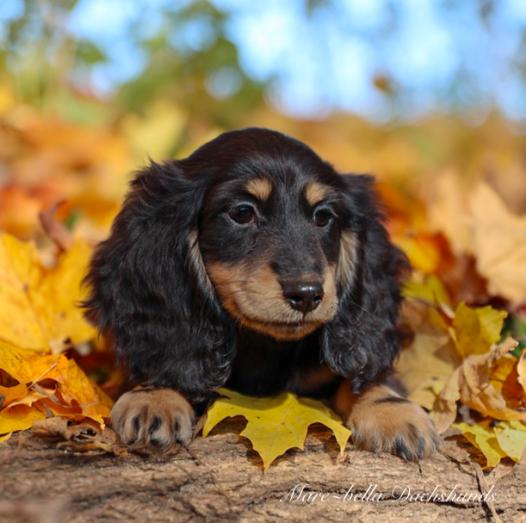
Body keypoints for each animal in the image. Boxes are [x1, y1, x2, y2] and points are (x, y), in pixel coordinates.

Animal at [84, 129, 442, 460]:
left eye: (323, 217)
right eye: (242, 213)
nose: (307, 295)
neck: (265, 348)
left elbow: (367, 373)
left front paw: (392, 410)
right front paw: (154, 398)